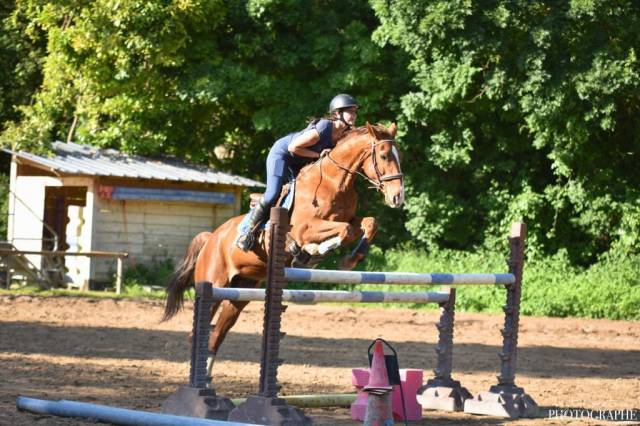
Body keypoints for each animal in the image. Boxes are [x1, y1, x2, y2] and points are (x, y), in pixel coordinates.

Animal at [162, 122, 404, 372]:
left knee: (217, 333)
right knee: (197, 332)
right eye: (384, 155)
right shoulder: (303, 229)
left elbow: (367, 224)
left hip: (240, 292)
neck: (334, 181)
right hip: (215, 285)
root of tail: (211, 238)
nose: (398, 197)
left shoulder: (349, 219)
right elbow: (343, 230)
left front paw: (349, 259)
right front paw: (315, 252)